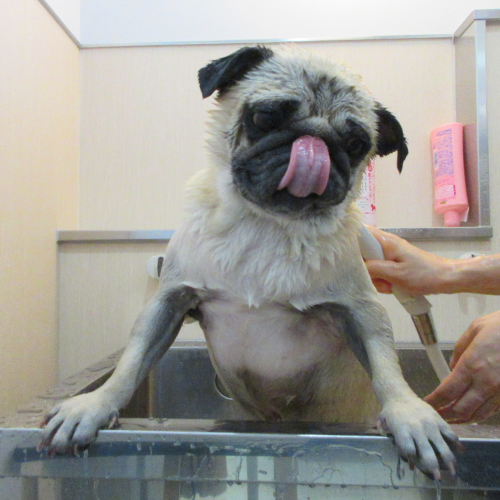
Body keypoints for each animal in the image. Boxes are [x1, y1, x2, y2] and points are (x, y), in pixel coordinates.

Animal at [40, 45, 459, 478]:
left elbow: (386, 367)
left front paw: (410, 413)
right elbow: (131, 362)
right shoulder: (169, 301)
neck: (266, 226)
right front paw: (96, 404)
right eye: (265, 118)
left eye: (357, 144)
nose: (316, 143)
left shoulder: (362, 310)